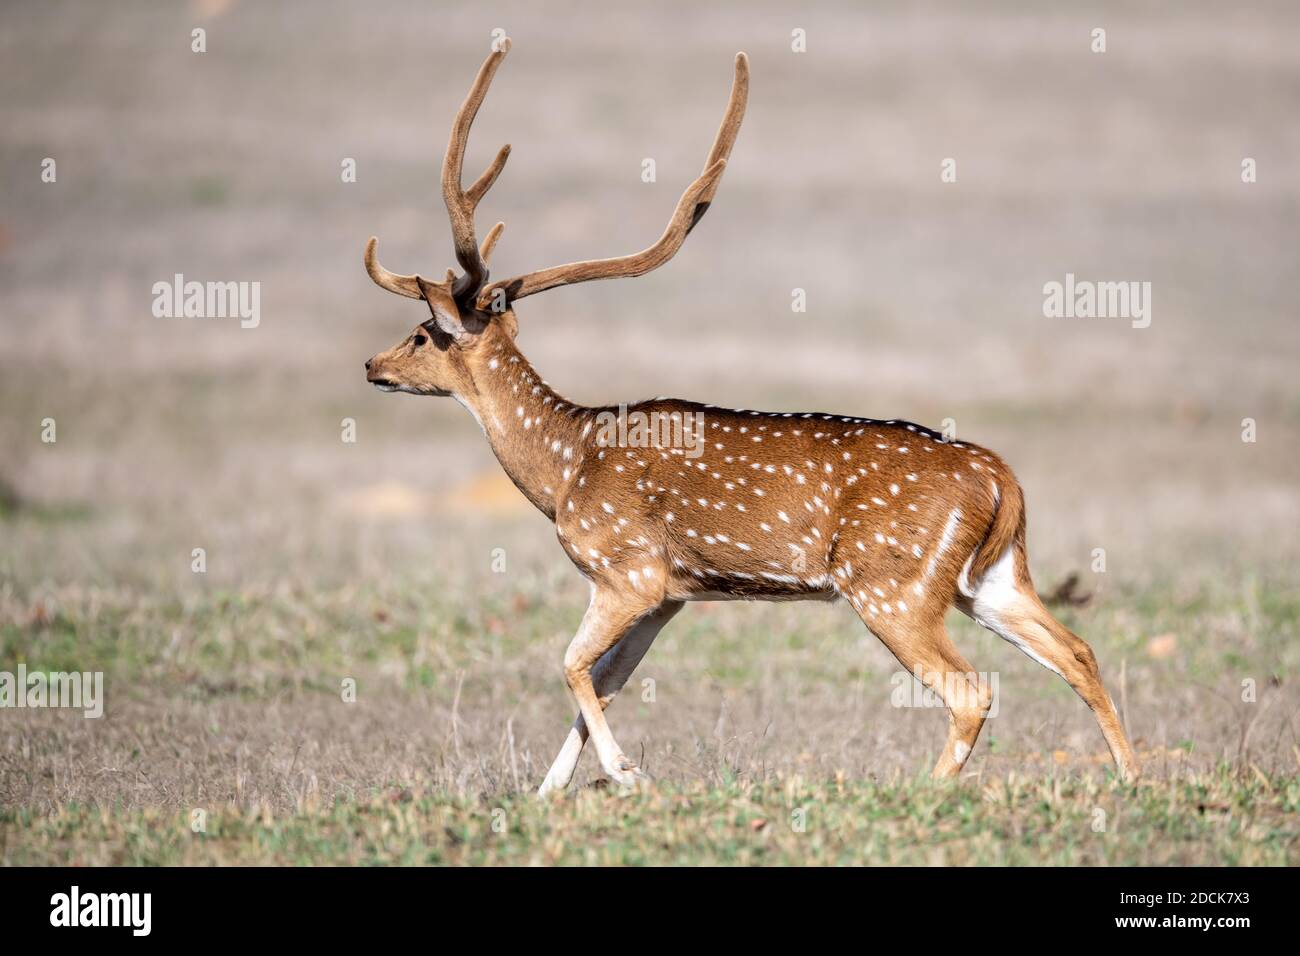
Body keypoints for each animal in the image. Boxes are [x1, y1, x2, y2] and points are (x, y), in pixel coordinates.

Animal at [362, 39, 1140, 796]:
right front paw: (551, 791)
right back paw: (1134, 778)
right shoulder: (672, 594)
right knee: (1078, 649)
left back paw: (928, 788)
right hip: (993, 578)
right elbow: (607, 682)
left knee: (972, 689)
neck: (563, 471)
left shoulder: (626, 568)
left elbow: (572, 665)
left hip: (894, 585)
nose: (372, 365)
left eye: (423, 333)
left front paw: (626, 773)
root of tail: (1000, 478)